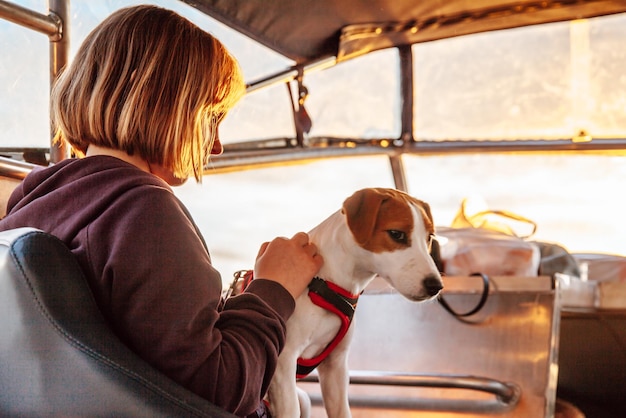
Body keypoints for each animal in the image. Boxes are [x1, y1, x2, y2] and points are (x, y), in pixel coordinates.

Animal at [266, 188, 442, 416]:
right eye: (397, 234)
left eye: (429, 237)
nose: (436, 285)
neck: (325, 283)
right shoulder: (284, 361)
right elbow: (289, 409)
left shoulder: (336, 365)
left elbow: (342, 411)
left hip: (304, 398)